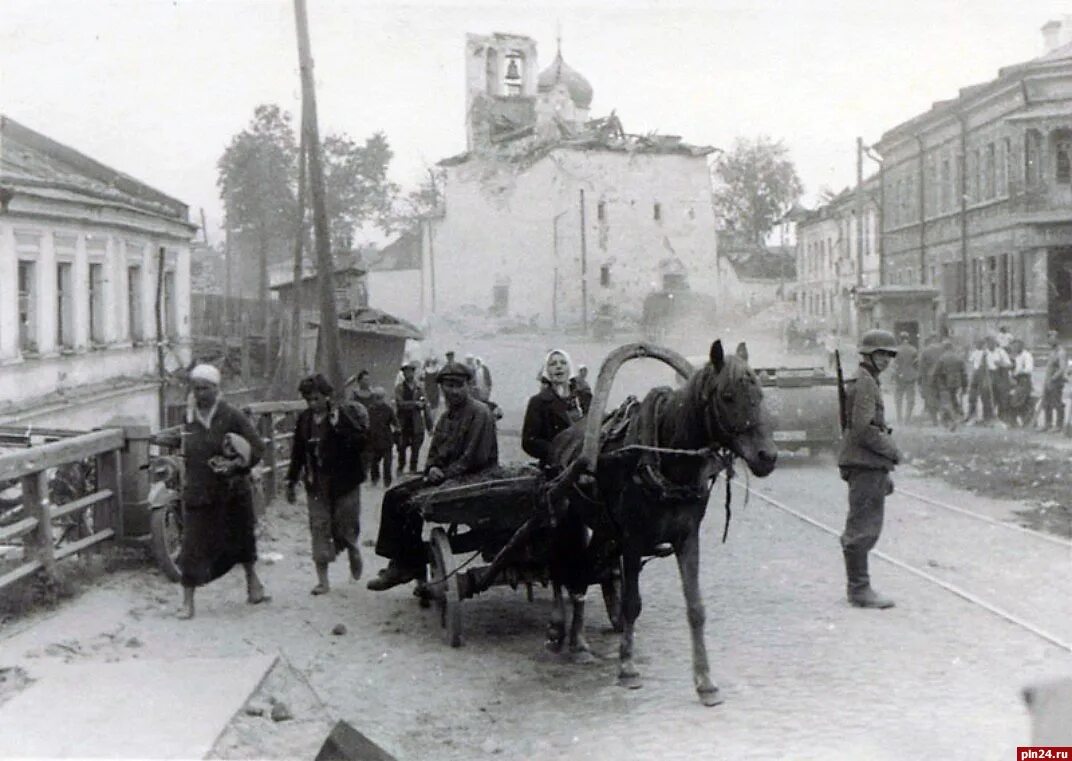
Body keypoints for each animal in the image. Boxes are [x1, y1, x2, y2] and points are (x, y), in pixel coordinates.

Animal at [544, 340, 780, 707]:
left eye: (760, 393)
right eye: (727, 396)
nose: (767, 456)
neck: (665, 459)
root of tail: (563, 439)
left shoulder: (687, 537)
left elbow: (696, 608)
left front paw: (705, 681)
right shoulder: (632, 540)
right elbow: (631, 605)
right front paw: (627, 667)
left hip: (602, 530)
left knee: (583, 571)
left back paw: (578, 641)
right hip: (567, 519)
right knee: (564, 569)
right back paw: (566, 632)